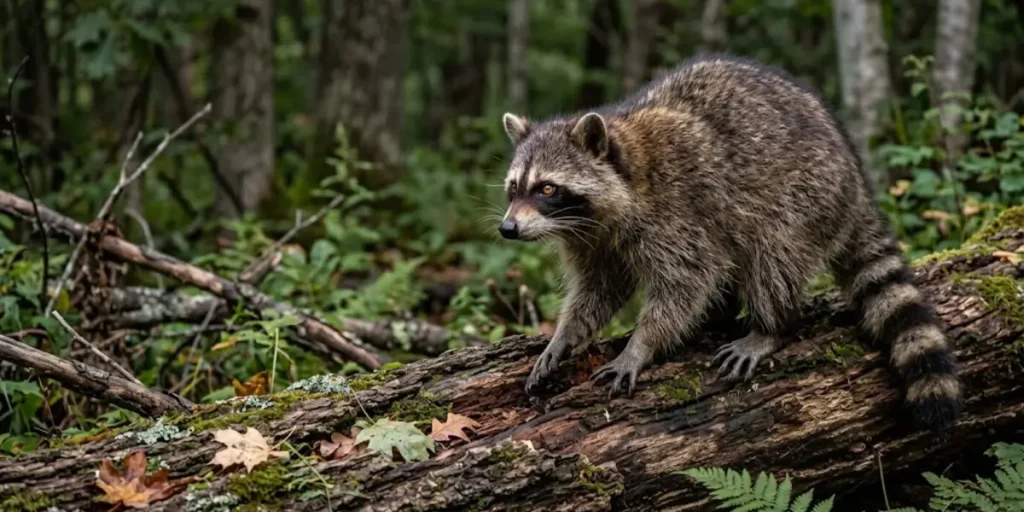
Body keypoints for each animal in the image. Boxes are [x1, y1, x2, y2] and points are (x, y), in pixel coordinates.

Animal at [497, 54, 961, 430]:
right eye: (514, 188)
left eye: (548, 189)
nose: (507, 229)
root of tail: (856, 180)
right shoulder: (593, 241)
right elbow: (598, 290)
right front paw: (566, 334)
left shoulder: (675, 215)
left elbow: (685, 282)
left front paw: (642, 343)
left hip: (805, 195)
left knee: (773, 258)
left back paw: (772, 327)